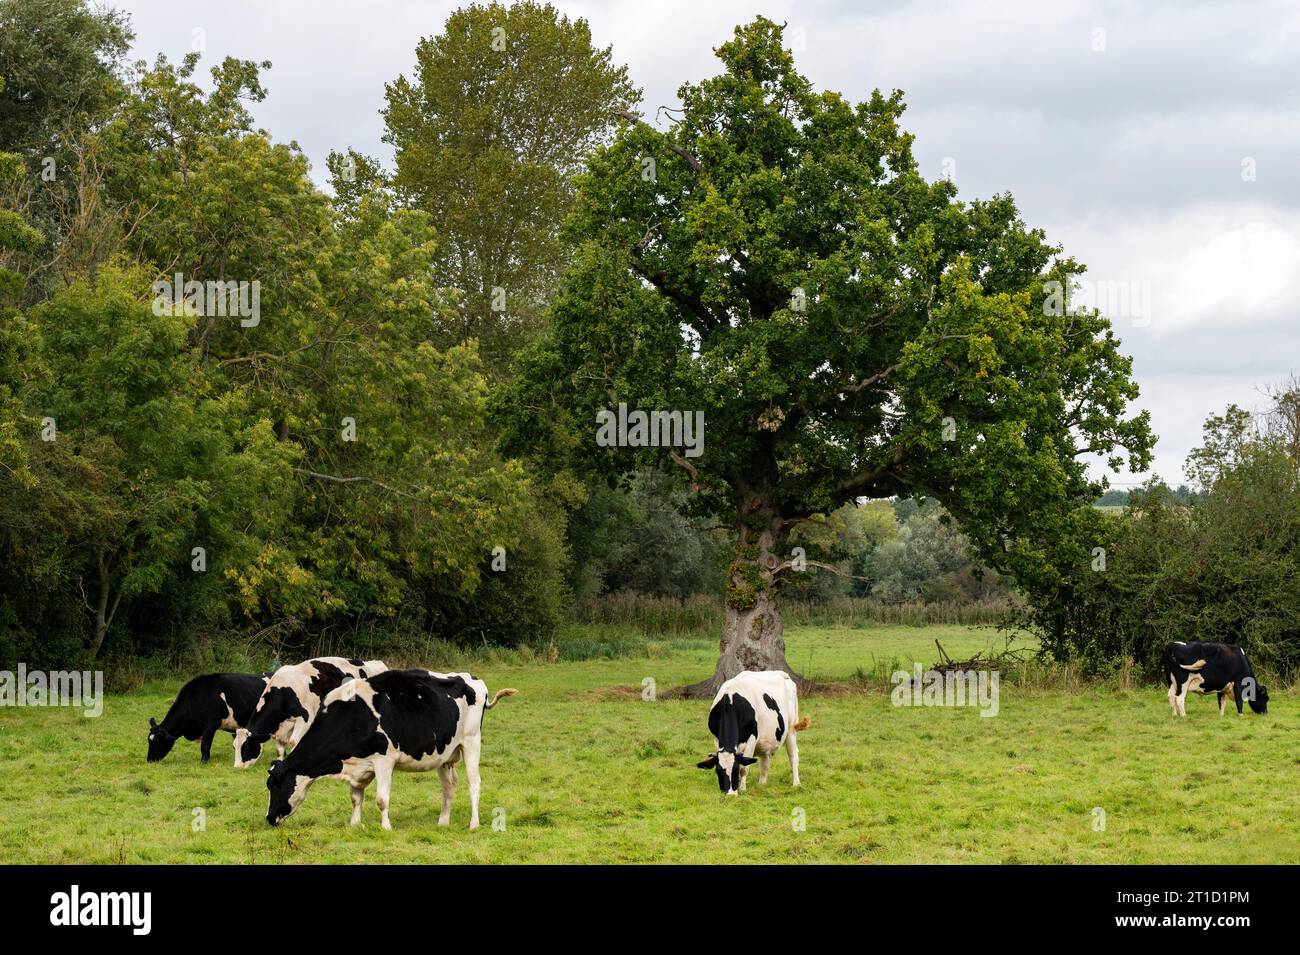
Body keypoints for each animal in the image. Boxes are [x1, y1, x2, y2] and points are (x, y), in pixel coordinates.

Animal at [235, 657, 384, 769]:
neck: (284, 691)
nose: (237, 767)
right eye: (234, 746)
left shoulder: (304, 718)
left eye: (246, 747)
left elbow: (294, 741)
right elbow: (280, 747)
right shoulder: (282, 726)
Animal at [265, 670, 517, 831]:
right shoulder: (359, 765)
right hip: (445, 754)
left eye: (275, 785)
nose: (269, 818)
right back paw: (442, 822)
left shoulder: (384, 761)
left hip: (472, 742)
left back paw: (474, 824)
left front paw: (386, 827)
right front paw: (355, 825)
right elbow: (355, 797)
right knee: (448, 787)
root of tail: (472, 679)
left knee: (474, 783)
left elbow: (381, 799)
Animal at [696, 670, 806, 800]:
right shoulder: (716, 738)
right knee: (765, 762)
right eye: (718, 771)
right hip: (766, 740)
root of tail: (782, 674)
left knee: (793, 755)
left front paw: (742, 789)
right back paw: (762, 784)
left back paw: (796, 783)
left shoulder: (752, 739)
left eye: (735, 769)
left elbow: (744, 768)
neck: (730, 700)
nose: (730, 795)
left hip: (791, 729)